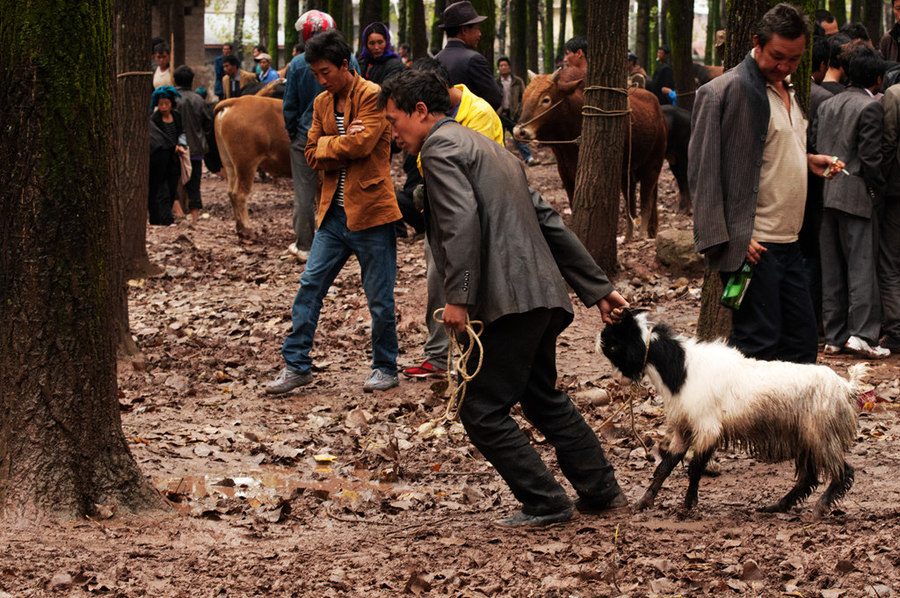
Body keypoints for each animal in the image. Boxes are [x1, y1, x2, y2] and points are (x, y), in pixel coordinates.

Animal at [215, 94, 292, 239]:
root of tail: (236, 101)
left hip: (229, 164)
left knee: (231, 192)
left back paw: (240, 228)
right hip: (246, 164)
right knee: (239, 194)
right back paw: (247, 231)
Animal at [512, 68, 668, 241]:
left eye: (545, 99)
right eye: (524, 98)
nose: (520, 131)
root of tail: (659, 112)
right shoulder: (565, 173)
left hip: (653, 164)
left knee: (646, 200)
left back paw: (642, 235)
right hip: (628, 174)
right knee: (632, 204)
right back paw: (629, 237)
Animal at [600, 312, 868, 516]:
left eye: (614, 344)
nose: (617, 380)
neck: (681, 369)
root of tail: (846, 387)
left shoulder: (707, 427)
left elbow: (695, 466)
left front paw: (688, 505)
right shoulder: (685, 428)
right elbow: (665, 466)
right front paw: (644, 502)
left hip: (821, 435)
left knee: (842, 471)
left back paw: (819, 507)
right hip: (805, 437)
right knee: (809, 477)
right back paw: (777, 506)